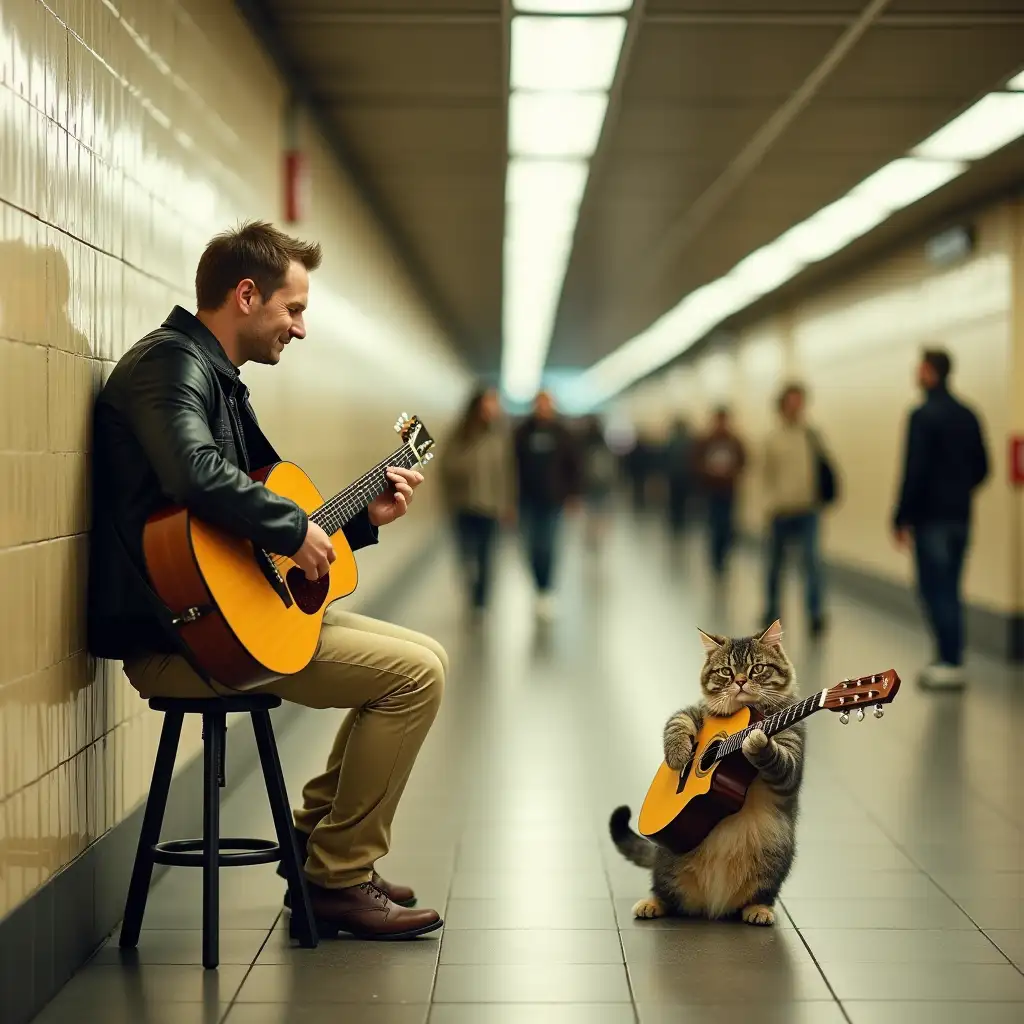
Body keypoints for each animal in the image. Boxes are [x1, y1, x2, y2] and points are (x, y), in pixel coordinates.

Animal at [610, 614, 802, 929]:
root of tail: (712, 908)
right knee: (664, 891)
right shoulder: (696, 710)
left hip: (776, 857)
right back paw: (652, 903)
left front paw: (757, 740)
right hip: (668, 860)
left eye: (757, 669)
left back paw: (758, 909)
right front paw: (679, 757)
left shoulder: (791, 757)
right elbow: (677, 722)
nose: (740, 681)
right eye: (726, 672)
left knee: (764, 893)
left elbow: (780, 761)